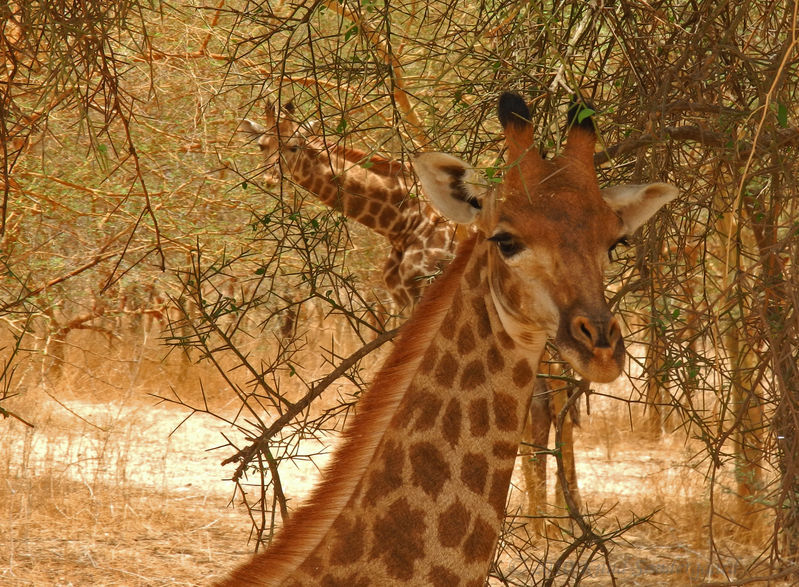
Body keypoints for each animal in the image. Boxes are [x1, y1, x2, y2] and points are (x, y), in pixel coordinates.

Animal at [222, 92, 680, 584]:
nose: (602, 348)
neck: (401, 217)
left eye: (616, 242)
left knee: (552, 405)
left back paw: (554, 523)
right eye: (505, 239)